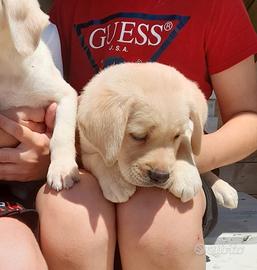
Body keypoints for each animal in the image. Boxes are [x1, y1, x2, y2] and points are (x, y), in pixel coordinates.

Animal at [77, 62, 237, 208]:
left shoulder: (187, 130)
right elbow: (101, 158)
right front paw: (116, 182)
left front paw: (187, 176)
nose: (160, 177)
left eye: (176, 136)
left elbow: (185, 144)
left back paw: (223, 188)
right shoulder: (85, 149)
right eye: (138, 136)